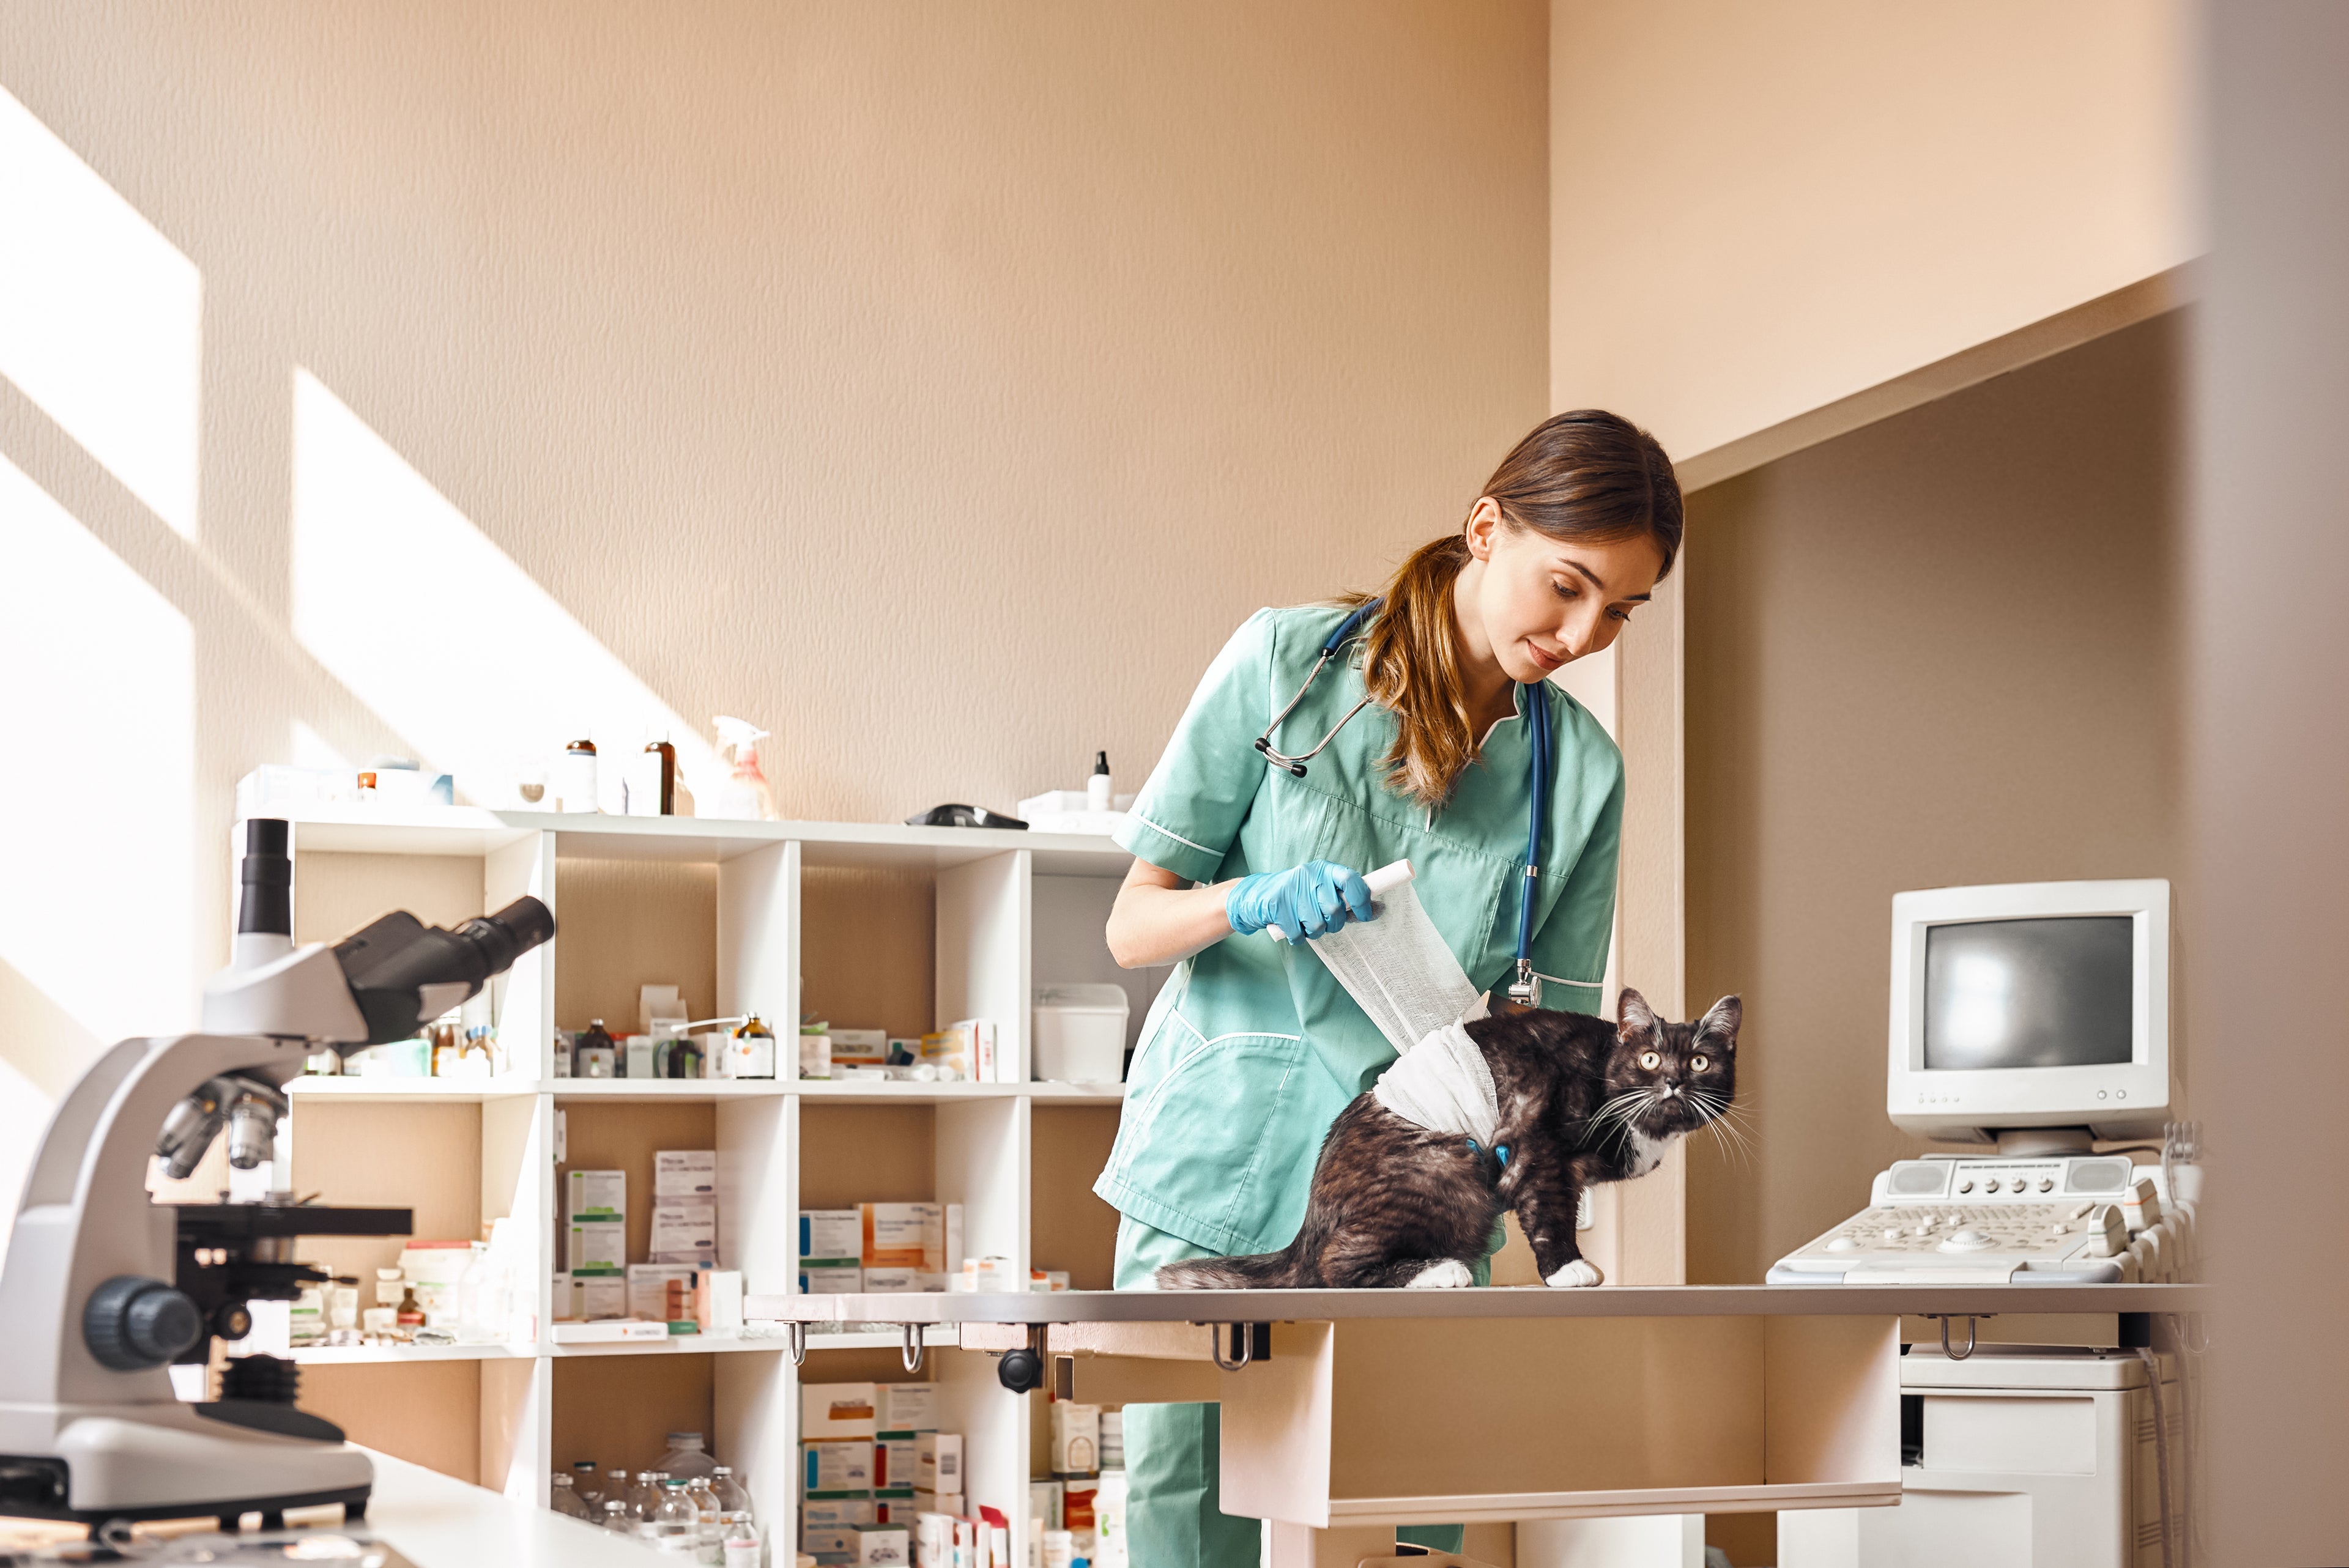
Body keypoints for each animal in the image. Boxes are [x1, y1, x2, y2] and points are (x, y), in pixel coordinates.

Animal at [1160, 986, 1747, 1295]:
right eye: (1649, 1058)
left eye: (1700, 1061)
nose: (1674, 1082)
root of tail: (1306, 1226)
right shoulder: (1534, 1145)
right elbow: (1549, 1212)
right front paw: (1568, 1269)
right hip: (1451, 1166)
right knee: (1332, 1267)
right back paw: (1439, 1271)